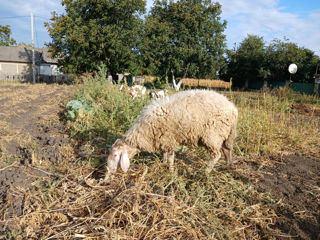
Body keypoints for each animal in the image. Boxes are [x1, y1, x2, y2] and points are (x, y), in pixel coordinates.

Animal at [107, 89, 238, 177]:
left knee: (216, 155)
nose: (108, 173)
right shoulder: (163, 140)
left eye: (115, 155)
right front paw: (163, 165)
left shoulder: (168, 139)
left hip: (213, 135)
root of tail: (232, 108)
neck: (142, 133)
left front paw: (171, 172)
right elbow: (165, 155)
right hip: (227, 135)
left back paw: (205, 172)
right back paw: (228, 166)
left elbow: (170, 158)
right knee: (227, 150)